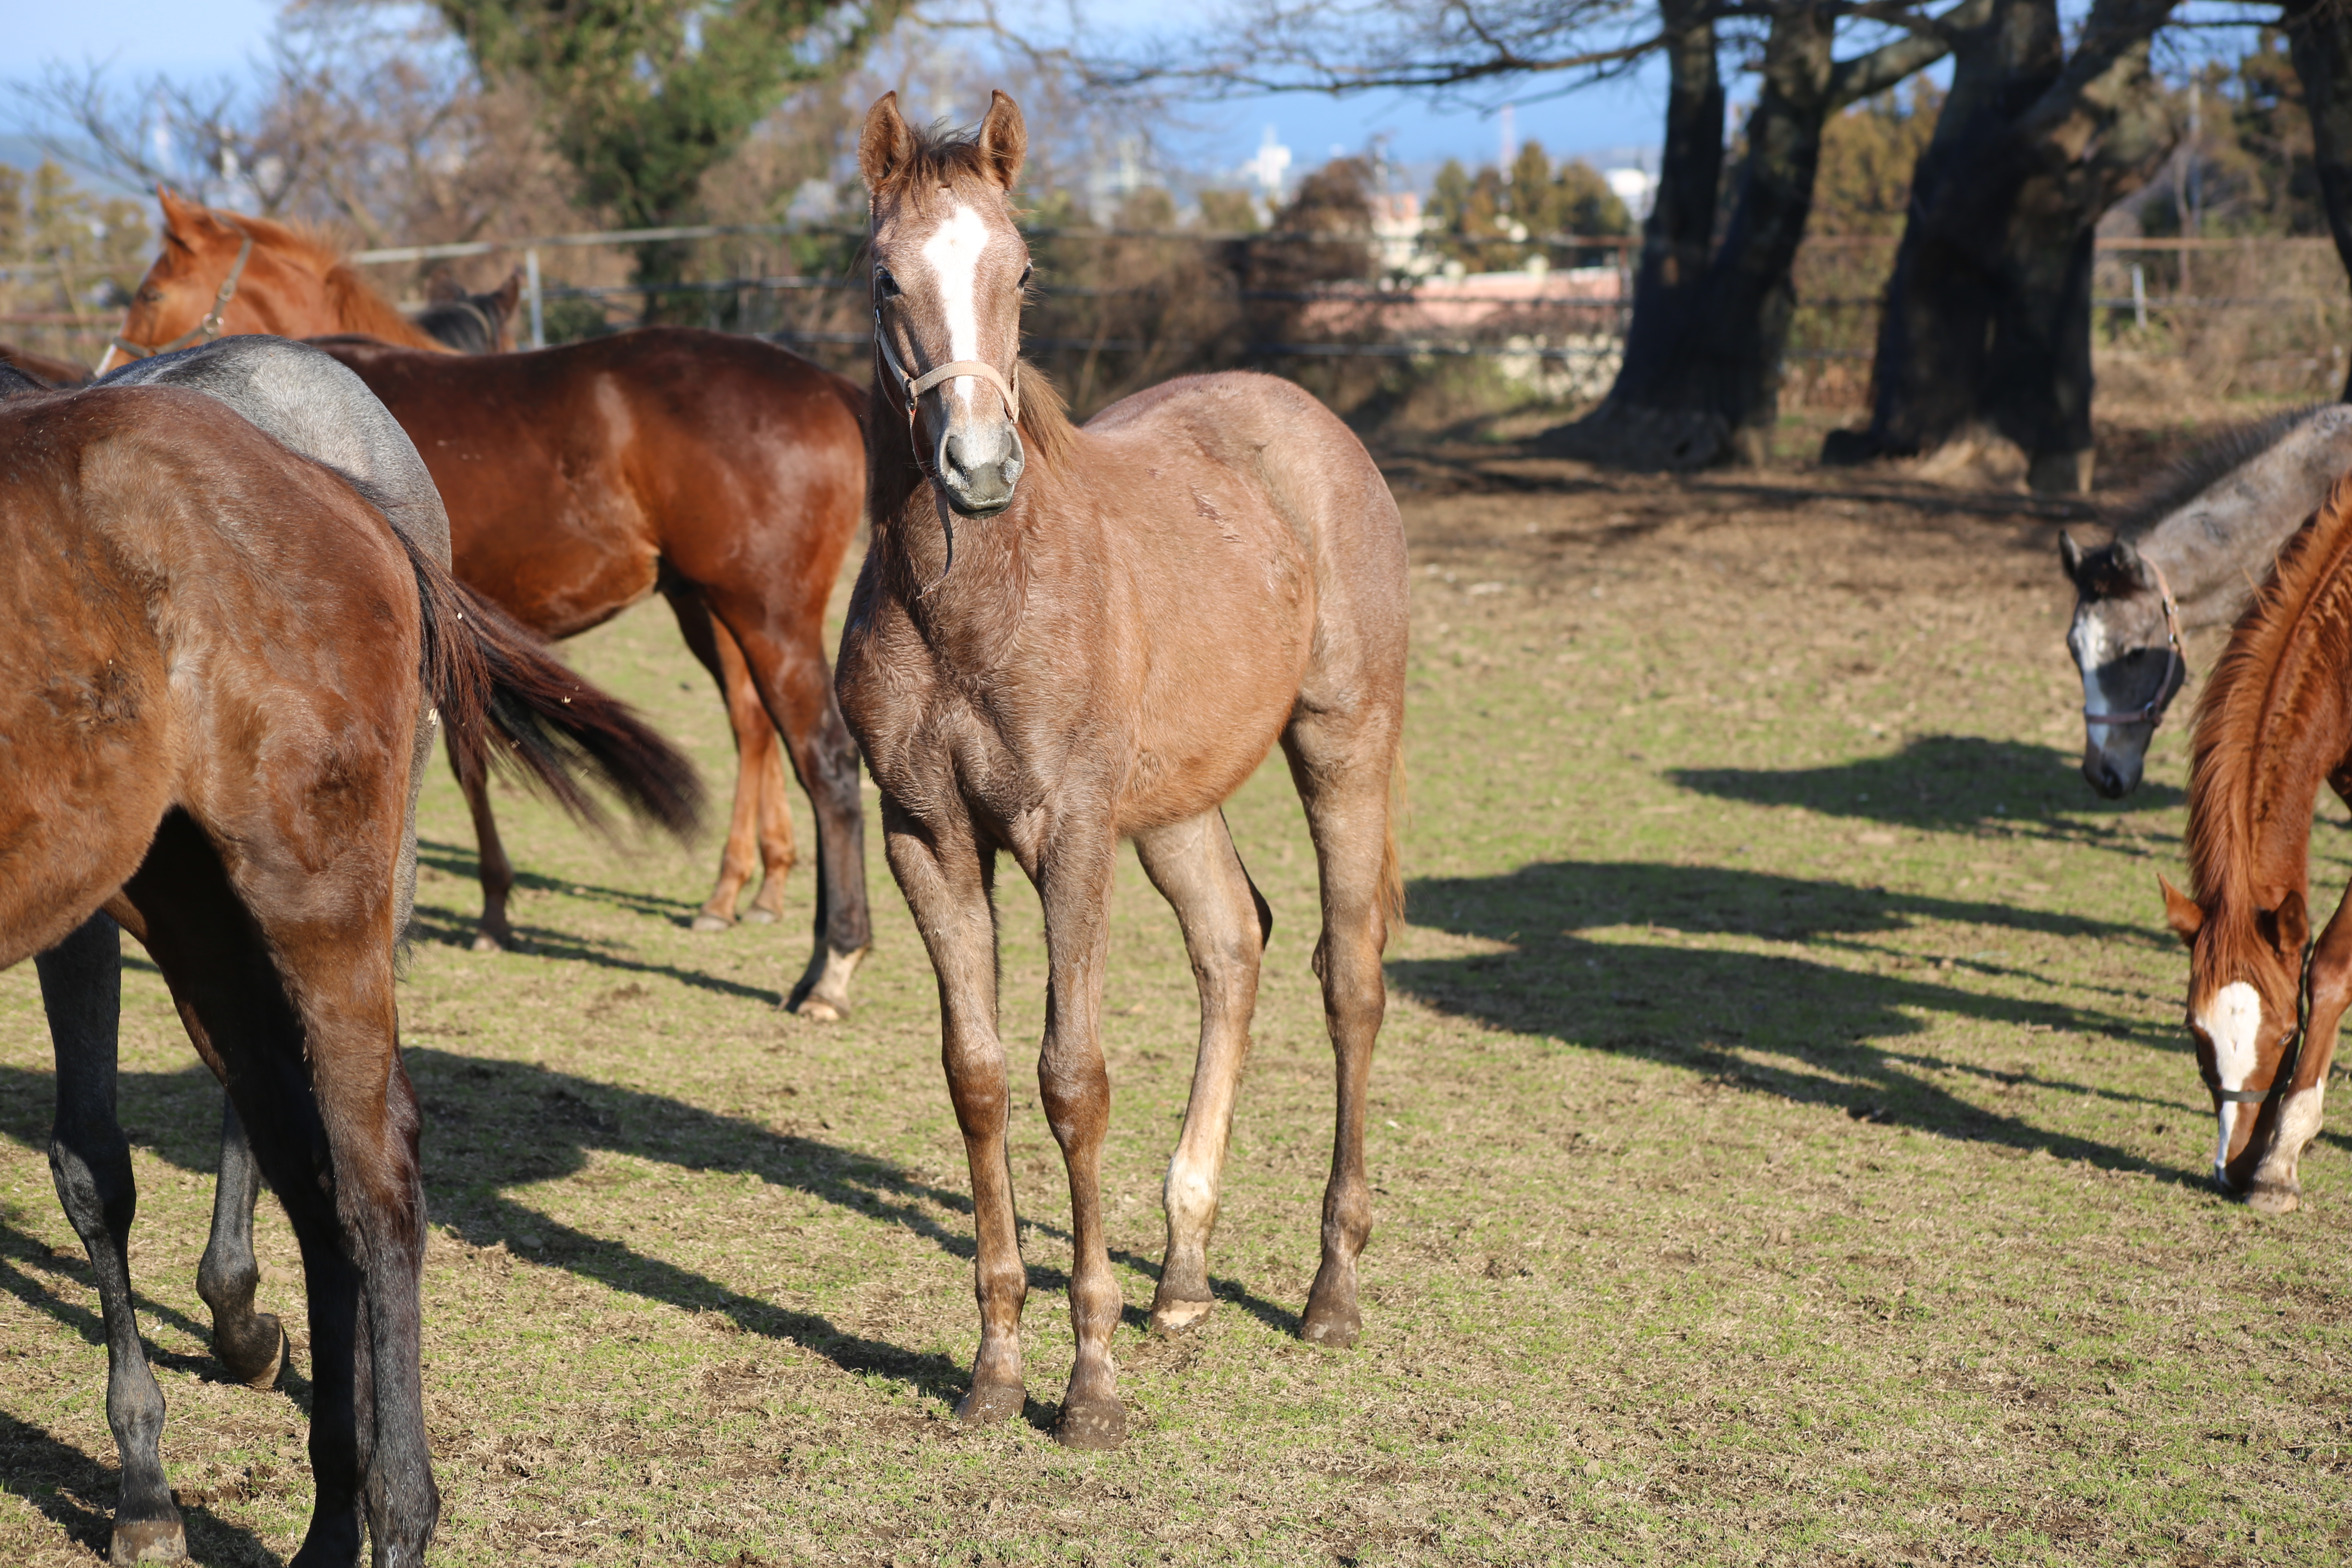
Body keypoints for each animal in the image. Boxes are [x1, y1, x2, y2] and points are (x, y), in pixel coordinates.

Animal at [0, 364, 691, 1561]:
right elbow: (94, 1166)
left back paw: (389, 1504)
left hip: (322, 893)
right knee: (303, 1153)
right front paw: (146, 1486)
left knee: (370, 1173)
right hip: (204, 901)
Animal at [837, 92, 1401, 1457]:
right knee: (1233, 944)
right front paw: (994, 1367)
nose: (979, 468)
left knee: (1349, 981)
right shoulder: (928, 836)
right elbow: (981, 1079)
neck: (970, 599)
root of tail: (1307, 422)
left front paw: (1087, 1382)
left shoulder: (1068, 833)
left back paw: (1329, 1290)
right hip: (1181, 803)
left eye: (1024, 269)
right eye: (885, 276)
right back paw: (1185, 1277)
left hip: (1342, 744)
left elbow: (1073, 1081)